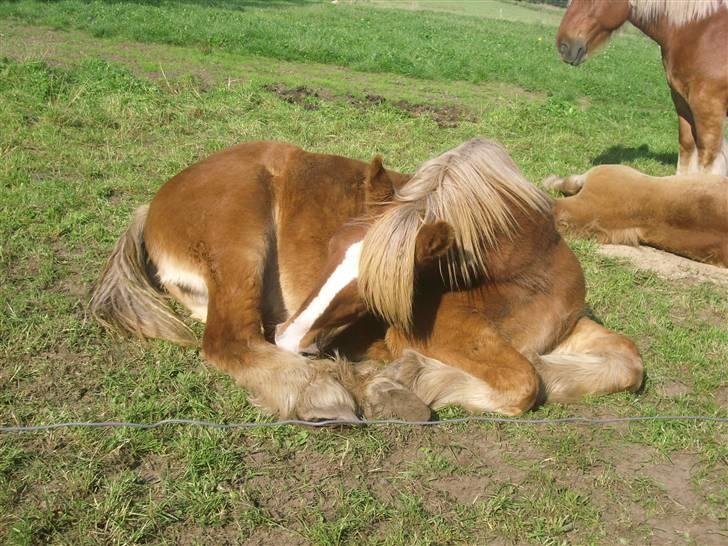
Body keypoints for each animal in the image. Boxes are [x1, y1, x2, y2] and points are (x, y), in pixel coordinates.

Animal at [91, 140, 644, 420]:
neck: (531, 273)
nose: (290, 338)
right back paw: (322, 392)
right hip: (239, 238)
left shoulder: (566, 328)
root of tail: (153, 205)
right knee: (230, 341)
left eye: (375, 292)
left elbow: (625, 361)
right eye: (331, 246)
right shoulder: (434, 331)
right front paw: (406, 379)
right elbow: (523, 383)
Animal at [556, 0, 728, 174]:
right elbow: (686, 145)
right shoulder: (682, 102)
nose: (563, 46)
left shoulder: (708, 108)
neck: (701, 32)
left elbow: (708, 158)